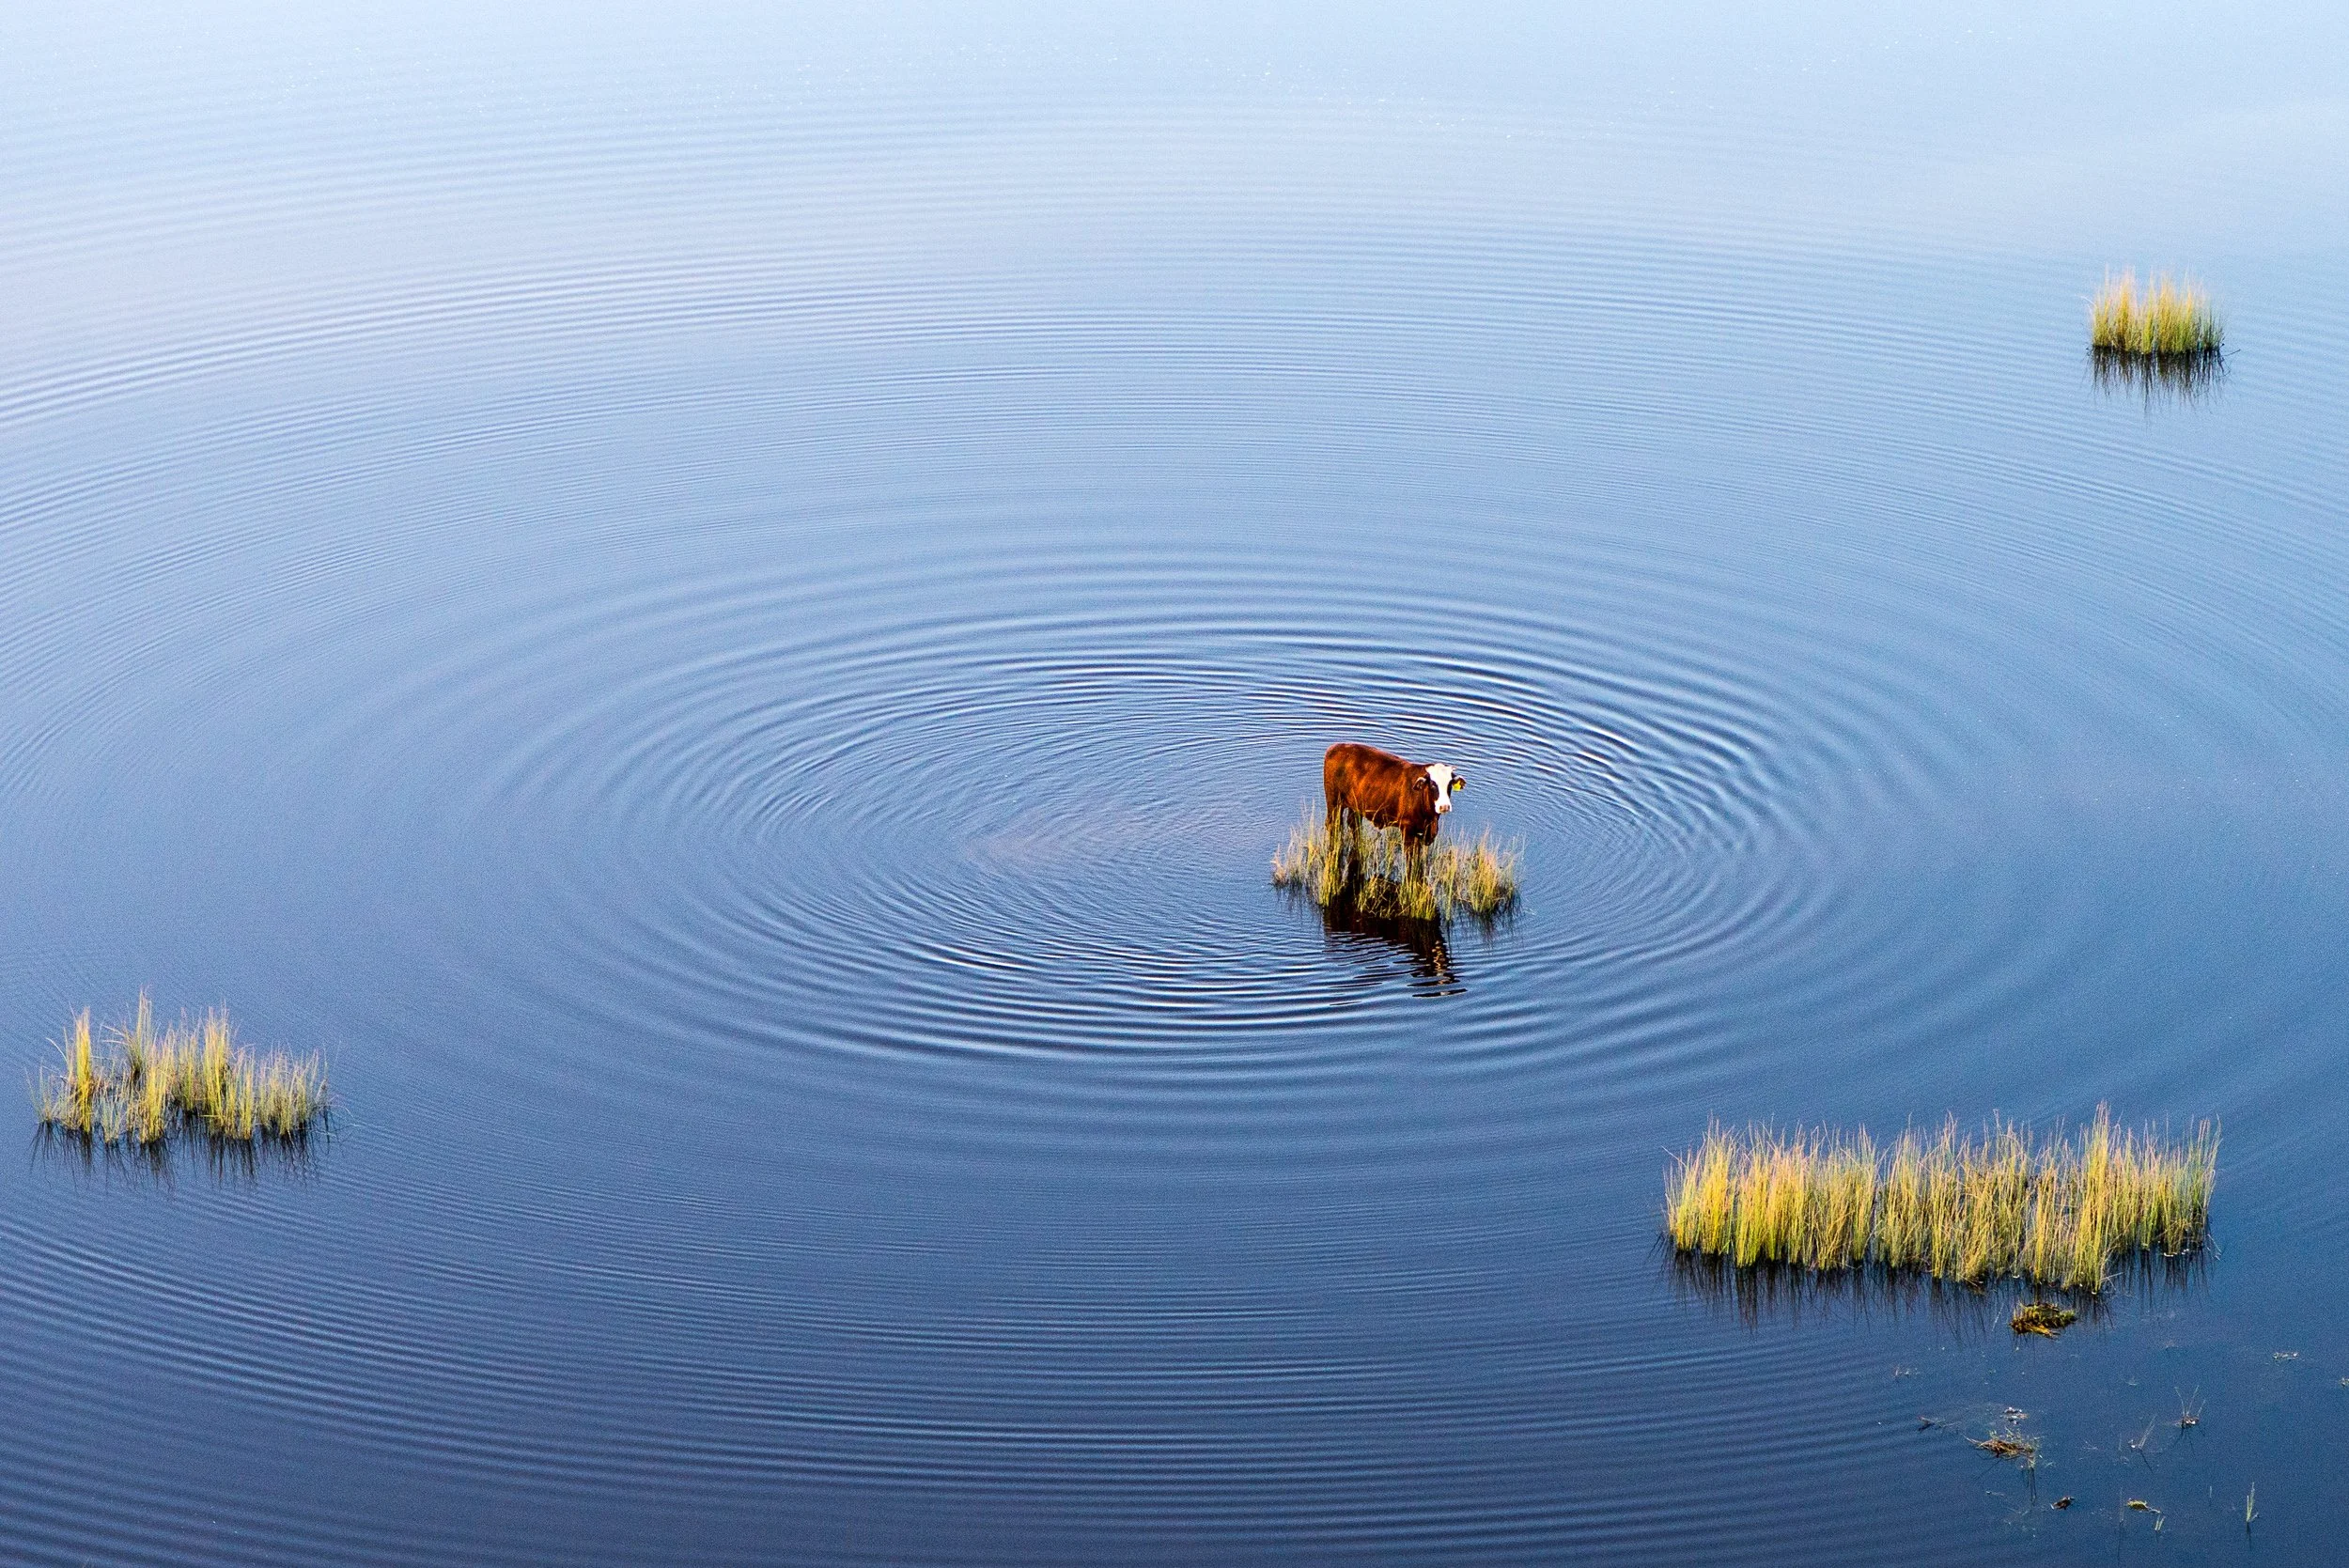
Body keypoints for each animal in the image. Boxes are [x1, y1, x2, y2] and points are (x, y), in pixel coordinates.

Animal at [1322, 742, 1464, 877]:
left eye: (1450, 784)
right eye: (1433, 784)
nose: (1444, 806)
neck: (1430, 819)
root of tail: (1337, 746)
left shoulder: (1421, 831)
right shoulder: (1407, 828)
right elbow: (1410, 858)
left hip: (1356, 805)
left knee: (1354, 824)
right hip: (1334, 801)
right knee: (1334, 826)